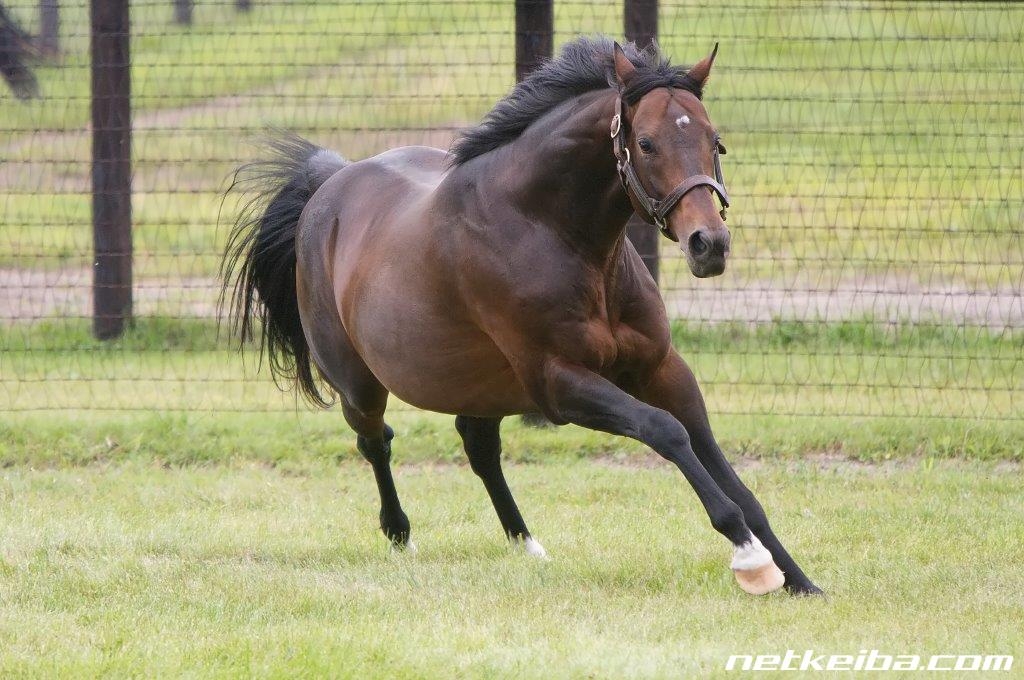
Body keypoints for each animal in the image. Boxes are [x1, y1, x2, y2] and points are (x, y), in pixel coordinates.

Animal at [224, 37, 823, 593]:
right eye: (646, 143)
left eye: (713, 140)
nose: (709, 245)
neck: (549, 229)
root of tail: (328, 188)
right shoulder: (559, 384)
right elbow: (667, 432)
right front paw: (750, 559)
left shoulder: (661, 369)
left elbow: (726, 471)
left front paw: (796, 579)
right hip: (359, 385)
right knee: (377, 442)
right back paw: (400, 535)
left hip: (480, 385)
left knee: (479, 446)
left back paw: (526, 544)